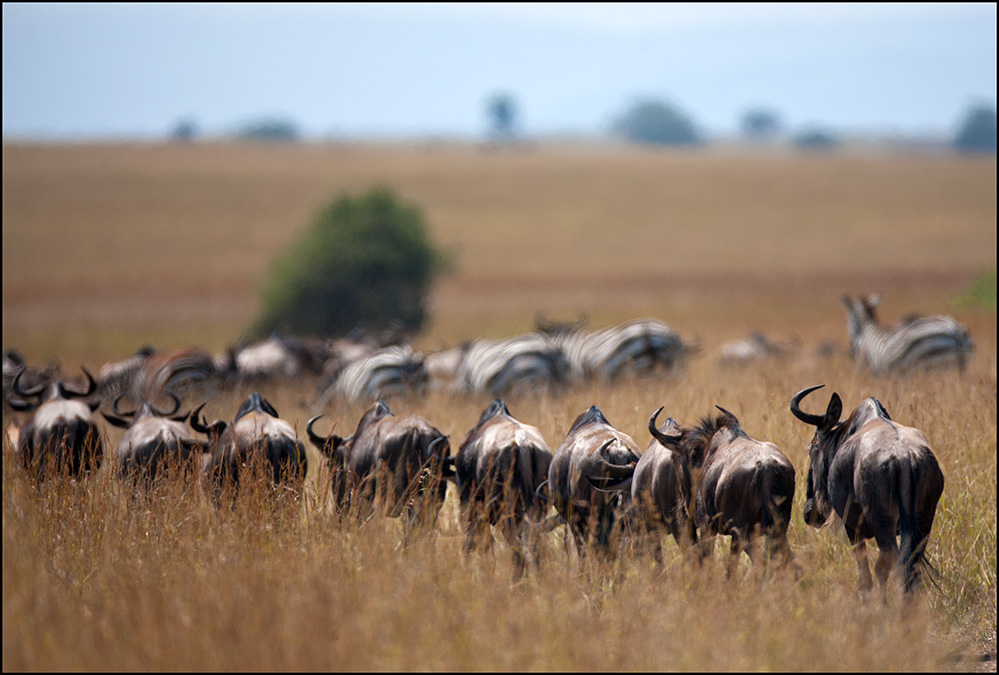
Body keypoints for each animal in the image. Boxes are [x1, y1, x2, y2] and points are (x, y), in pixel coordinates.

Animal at [840, 292, 972, 374]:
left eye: (847, 319)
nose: (851, 349)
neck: (867, 329)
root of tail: (955, 330)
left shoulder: (872, 371)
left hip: (937, 364)